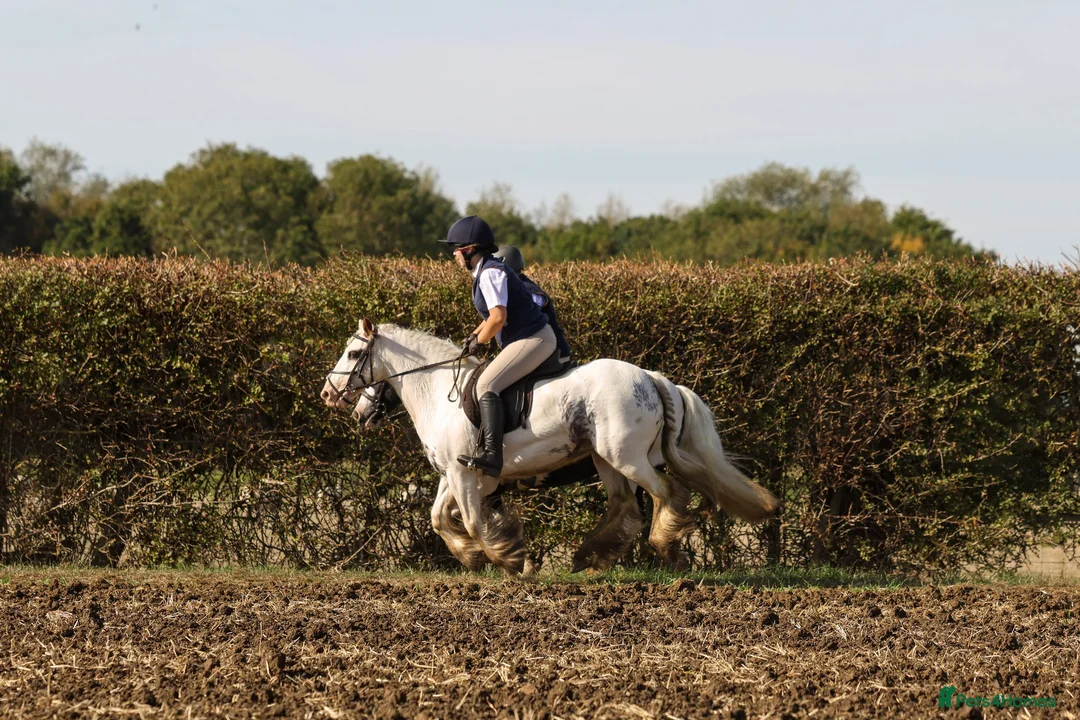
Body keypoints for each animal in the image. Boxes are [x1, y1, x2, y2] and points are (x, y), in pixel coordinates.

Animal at [321, 318, 779, 575]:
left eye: (354, 353)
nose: (330, 395)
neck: (438, 392)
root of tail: (651, 377)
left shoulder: (466, 475)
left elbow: (472, 520)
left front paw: (510, 559)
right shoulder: (455, 473)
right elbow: (438, 518)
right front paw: (473, 557)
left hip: (626, 458)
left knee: (667, 493)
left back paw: (665, 546)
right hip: (606, 459)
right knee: (625, 508)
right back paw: (590, 558)